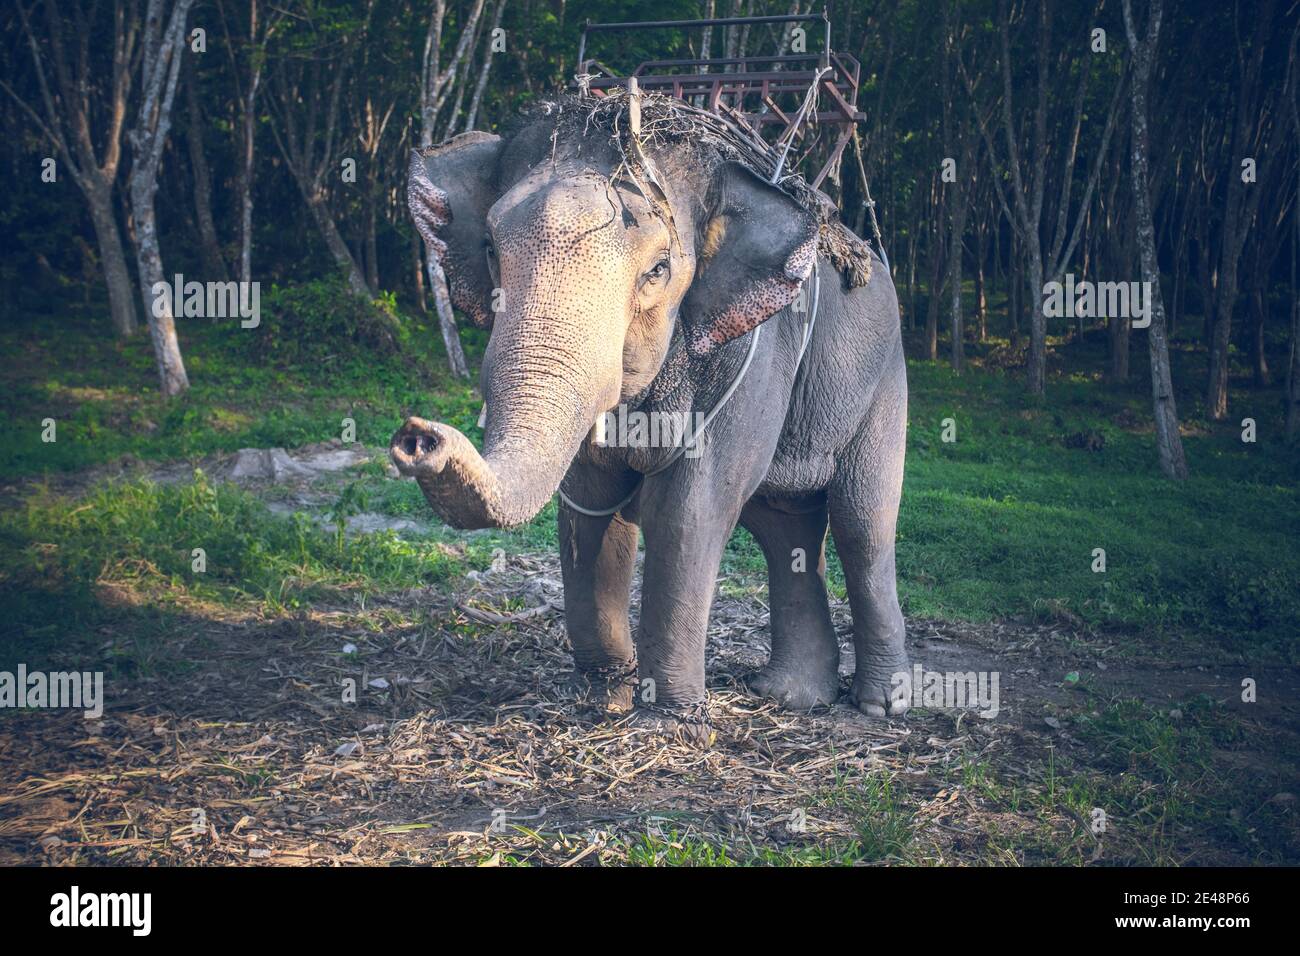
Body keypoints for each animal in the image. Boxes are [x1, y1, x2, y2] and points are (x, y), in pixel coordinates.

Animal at [390, 95, 909, 738]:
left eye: (659, 268)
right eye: (489, 249)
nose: (418, 436)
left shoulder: (757, 352)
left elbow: (687, 511)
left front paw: (665, 721)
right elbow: (591, 504)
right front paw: (601, 696)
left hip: (884, 378)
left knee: (863, 524)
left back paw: (879, 705)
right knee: (781, 525)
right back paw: (790, 697)